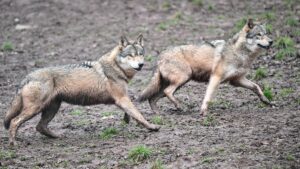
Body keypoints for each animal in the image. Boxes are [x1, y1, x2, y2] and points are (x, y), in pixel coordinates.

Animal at [3, 34, 161, 145]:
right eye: (130, 55)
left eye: (140, 54)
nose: (141, 65)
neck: (116, 68)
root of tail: (27, 76)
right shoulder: (122, 98)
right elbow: (139, 114)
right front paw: (151, 127)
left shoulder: (122, 98)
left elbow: (131, 113)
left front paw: (127, 120)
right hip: (35, 109)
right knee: (15, 121)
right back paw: (13, 143)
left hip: (52, 108)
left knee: (39, 127)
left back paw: (57, 137)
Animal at [138, 18, 274, 116]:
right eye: (259, 35)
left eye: (267, 34)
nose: (271, 41)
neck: (239, 53)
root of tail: (160, 55)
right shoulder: (215, 77)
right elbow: (208, 96)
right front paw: (203, 111)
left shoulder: (237, 80)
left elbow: (256, 87)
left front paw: (266, 101)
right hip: (183, 78)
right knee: (167, 92)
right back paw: (180, 106)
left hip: (178, 83)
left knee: (153, 98)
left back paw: (159, 113)